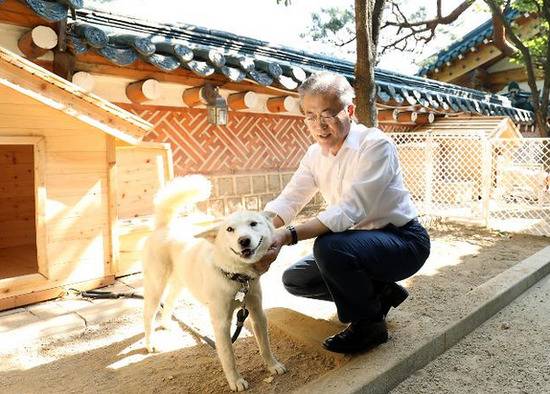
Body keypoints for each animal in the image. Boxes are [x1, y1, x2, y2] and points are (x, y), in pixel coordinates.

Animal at [142, 175, 288, 390]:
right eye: (229, 229)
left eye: (253, 223)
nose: (244, 240)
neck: (236, 277)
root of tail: (164, 226)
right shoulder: (221, 323)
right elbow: (228, 357)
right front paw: (235, 381)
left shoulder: (257, 312)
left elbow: (265, 346)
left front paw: (273, 365)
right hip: (155, 286)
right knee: (148, 315)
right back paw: (150, 343)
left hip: (179, 284)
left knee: (168, 303)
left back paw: (166, 323)